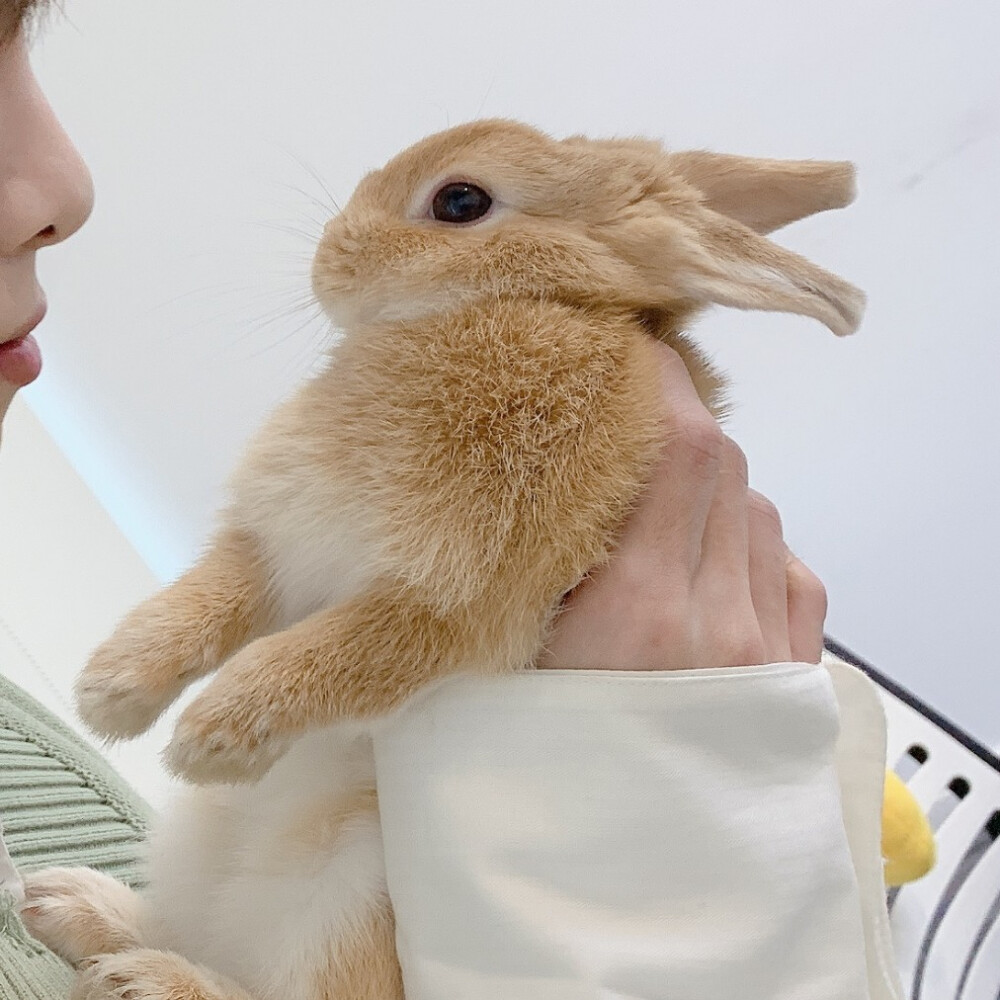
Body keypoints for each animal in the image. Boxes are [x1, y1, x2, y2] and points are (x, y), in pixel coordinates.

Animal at [21, 119, 868, 1000]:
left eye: (460, 201)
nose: (328, 251)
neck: (508, 307)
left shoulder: (455, 598)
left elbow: (343, 654)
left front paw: (208, 738)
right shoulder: (283, 543)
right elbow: (217, 598)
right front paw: (111, 694)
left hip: (355, 897)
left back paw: (143, 976)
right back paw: (71, 905)